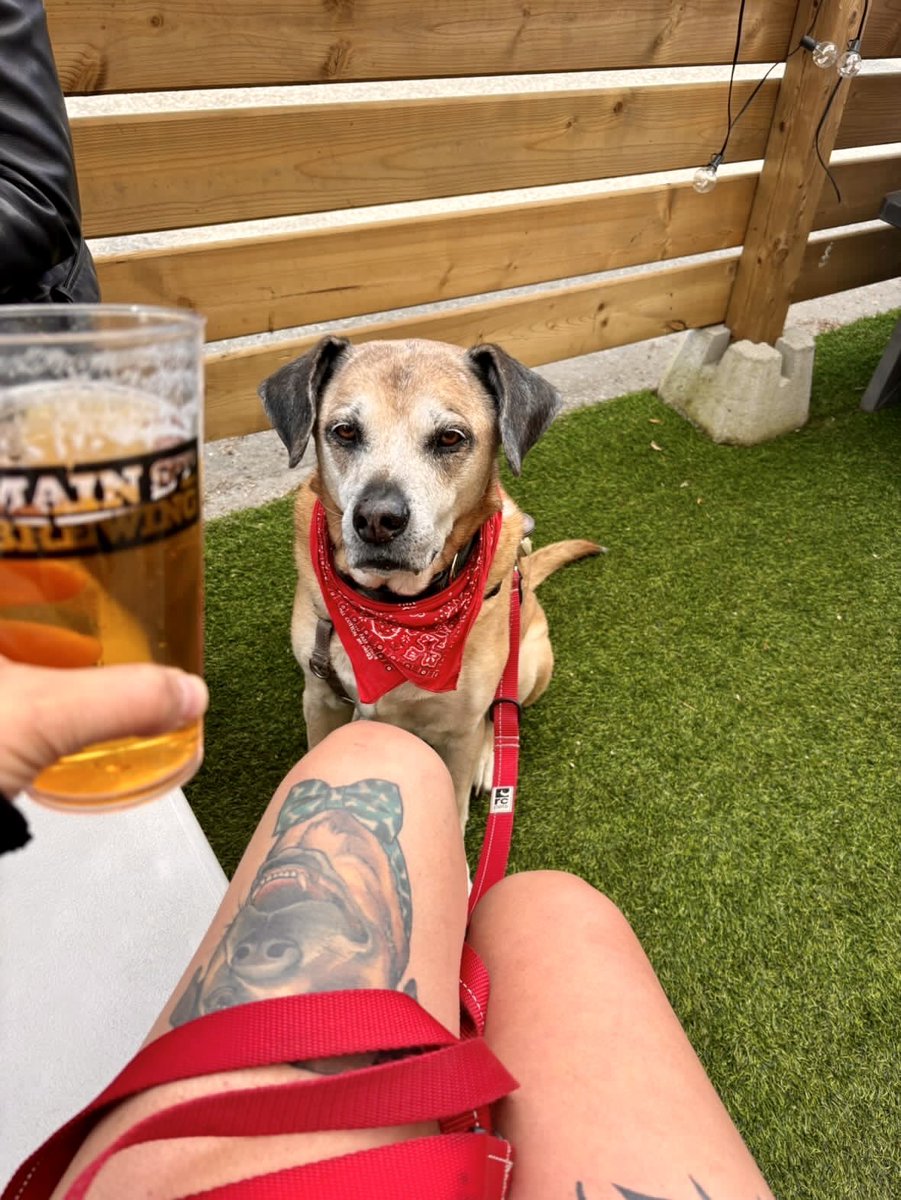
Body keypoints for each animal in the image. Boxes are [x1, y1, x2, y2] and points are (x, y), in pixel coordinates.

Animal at [260, 338, 599, 825]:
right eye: (344, 431)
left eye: (450, 438)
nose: (376, 519)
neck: (394, 608)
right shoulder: (319, 698)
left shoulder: (459, 731)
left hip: (528, 666)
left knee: (502, 714)